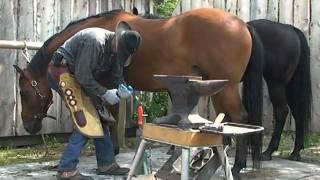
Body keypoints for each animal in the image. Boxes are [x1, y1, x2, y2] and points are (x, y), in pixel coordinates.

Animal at [12, 7, 264, 179]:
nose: (28, 126)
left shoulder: (105, 82)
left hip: (227, 88)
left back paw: (238, 165)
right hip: (219, 89)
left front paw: (112, 153)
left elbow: (112, 118)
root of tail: (242, 25)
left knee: (240, 117)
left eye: (24, 92)